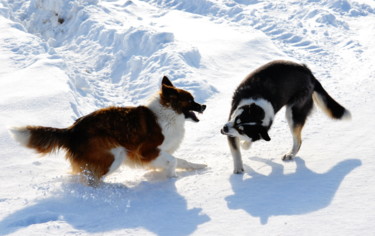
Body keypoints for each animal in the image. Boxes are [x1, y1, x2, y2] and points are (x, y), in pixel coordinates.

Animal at [9, 76, 209, 185]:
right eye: (190, 100)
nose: (204, 106)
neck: (169, 114)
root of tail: (72, 129)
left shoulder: (161, 152)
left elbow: (181, 160)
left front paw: (198, 166)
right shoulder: (147, 151)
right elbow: (173, 161)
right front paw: (170, 178)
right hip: (114, 155)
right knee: (92, 180)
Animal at [222, 59, 352, 173]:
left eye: (241, 130)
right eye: (237, 119)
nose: (224, 128)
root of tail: (309, 73)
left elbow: (245, 144)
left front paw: (242, 153)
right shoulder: (232, 119)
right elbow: (239, 148)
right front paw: (240, 160)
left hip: (293, 112)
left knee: (298, 140)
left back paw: (290, 154)